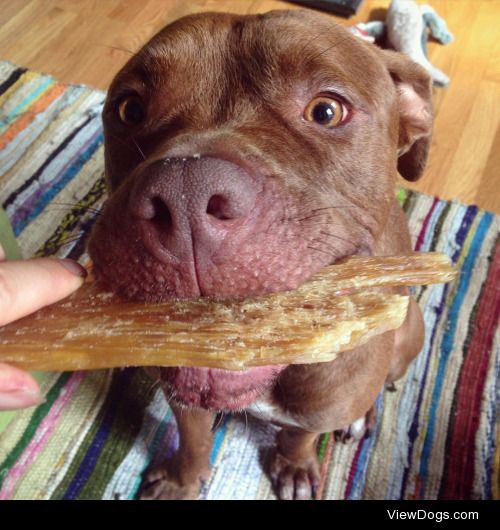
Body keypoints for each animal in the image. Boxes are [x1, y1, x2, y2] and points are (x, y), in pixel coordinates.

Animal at [86, 9, 430, 500]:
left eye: (327, 111)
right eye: (129, 109)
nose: (185, 193)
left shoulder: (320, 408)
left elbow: (301, 434)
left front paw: (295, 464)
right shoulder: (183, 391)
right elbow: (193, 436)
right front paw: (182, 479)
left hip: (409, 327)